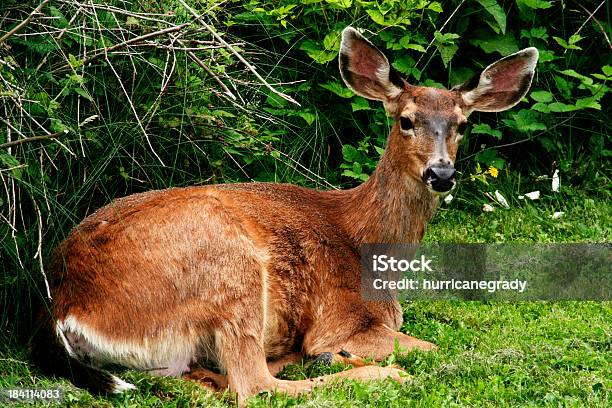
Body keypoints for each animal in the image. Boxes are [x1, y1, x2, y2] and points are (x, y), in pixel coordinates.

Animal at [31, 27, 536, 406]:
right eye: (406, 120)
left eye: (462, 125)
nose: (441, 173)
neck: (365, 243)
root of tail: (64, 307)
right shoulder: (341, 318)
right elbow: (429, 346)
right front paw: (356, 359)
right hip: (227, 266)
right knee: (255, 387)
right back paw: (373, 372)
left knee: (198, 381)